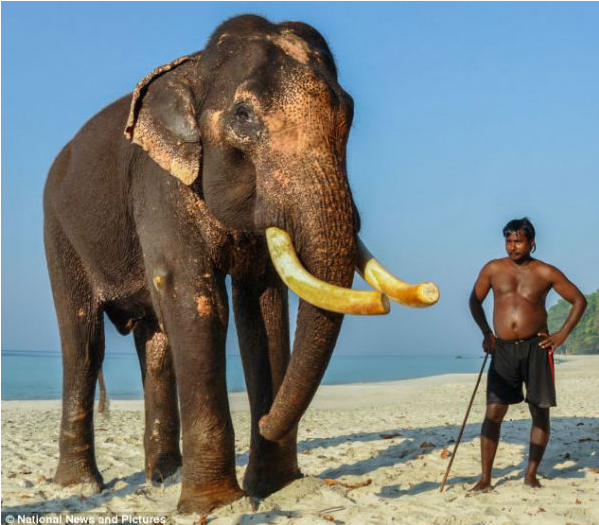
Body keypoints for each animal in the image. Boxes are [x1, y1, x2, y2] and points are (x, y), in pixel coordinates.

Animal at [44, 13, 438, 512]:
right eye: (243, 116)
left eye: (348, 111)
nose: (429, 289)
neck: (195, 69)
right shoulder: (161, 184)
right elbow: (196, 301)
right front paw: (215, 505)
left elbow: (263, 309)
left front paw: (275, 488)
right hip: (58, 231)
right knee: (83, 341)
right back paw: (80, 486)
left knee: (155, 343)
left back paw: (162, 479)